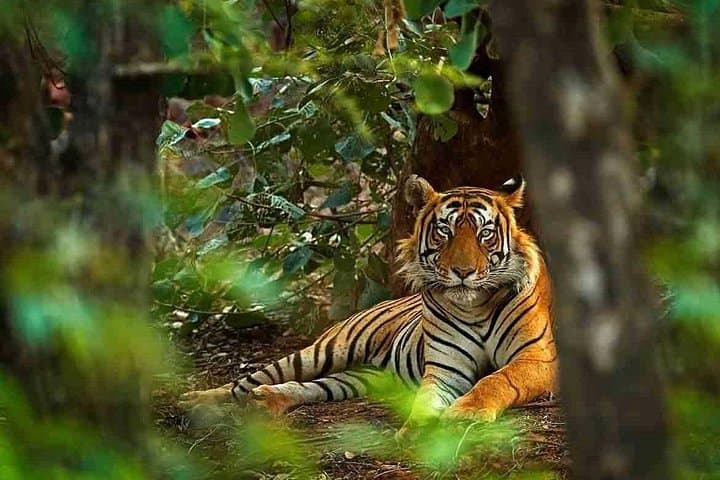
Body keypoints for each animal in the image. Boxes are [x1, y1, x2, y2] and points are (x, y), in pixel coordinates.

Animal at [179, 175, 557, 432]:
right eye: (444, 232)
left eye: (485, 234)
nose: (462, 272)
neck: (475, 305)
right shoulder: (445, 369)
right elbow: (426, 399)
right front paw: (417, 430)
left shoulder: (537, 357)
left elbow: (497, 379)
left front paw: (467, 414)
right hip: (323, 351)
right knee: (246, 381)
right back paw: (195, 401)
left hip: (361, 377)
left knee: (310, 387)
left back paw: (267, 400)